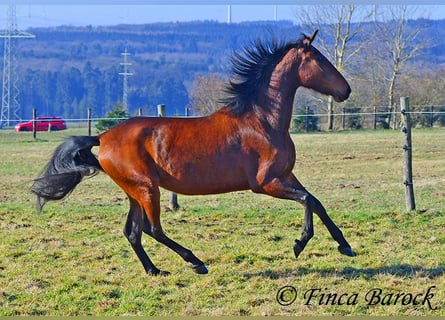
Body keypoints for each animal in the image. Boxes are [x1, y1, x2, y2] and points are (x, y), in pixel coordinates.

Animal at [31, 30, 354, 276]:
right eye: (320, 60)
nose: (346, 90)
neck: (262, 120)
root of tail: (103, 137)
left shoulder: (285, 175)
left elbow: (316, 201)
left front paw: (344, 245)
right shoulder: (266, 183)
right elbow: (307, 200)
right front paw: (300, 243)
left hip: (134, 191)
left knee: (133, 232)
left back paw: (155, 271)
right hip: (147, 189)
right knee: (153, 229)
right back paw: (197, 262)